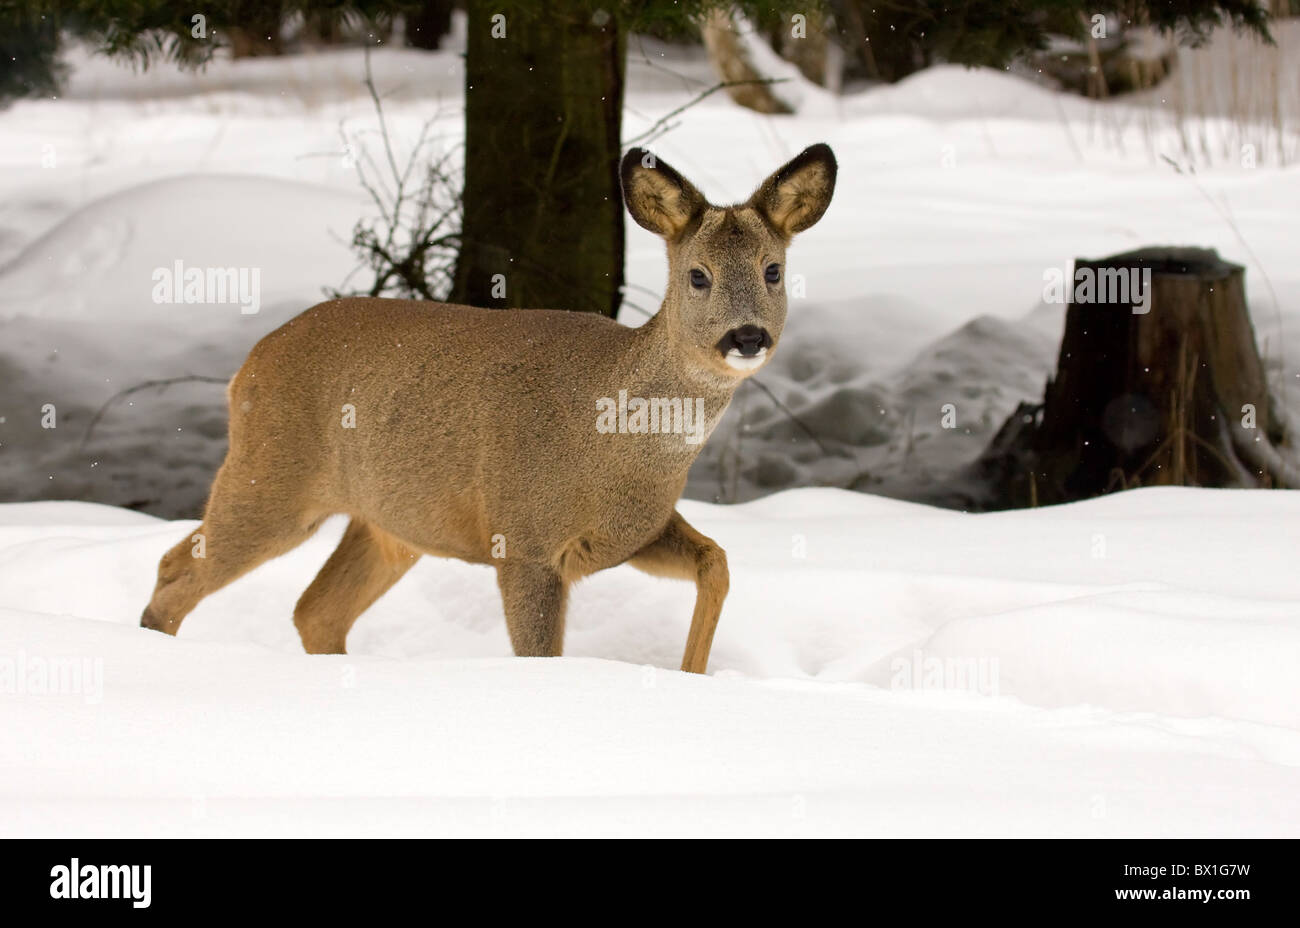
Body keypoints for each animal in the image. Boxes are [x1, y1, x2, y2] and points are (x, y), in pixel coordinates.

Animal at [139, 141, 832, 670]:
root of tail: (246, 367)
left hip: (391, 522)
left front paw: (693, 677)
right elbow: (540, 658)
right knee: (177, 567)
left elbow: (718, 561)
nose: (747, 337)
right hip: (272, 476)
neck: (615, 447)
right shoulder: (522, 536)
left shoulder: (635, 531)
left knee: (314, 609)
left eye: (773, 270)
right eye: (698, 275)